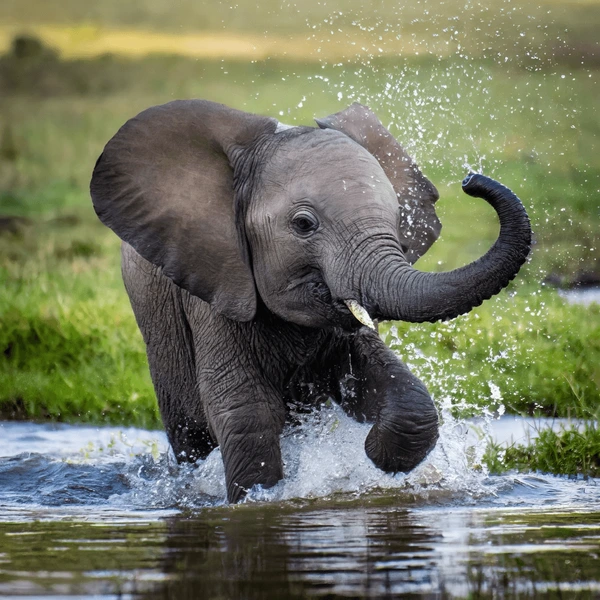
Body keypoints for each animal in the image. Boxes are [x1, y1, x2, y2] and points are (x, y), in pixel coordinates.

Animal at [89, 99, 528, 502]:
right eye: (303, 225)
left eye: (397, 218)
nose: (470, 180)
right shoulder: (215, 284)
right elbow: (248, 411)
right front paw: (258, 499)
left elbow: (387, 385)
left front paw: (374, 456)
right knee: (190, 437)